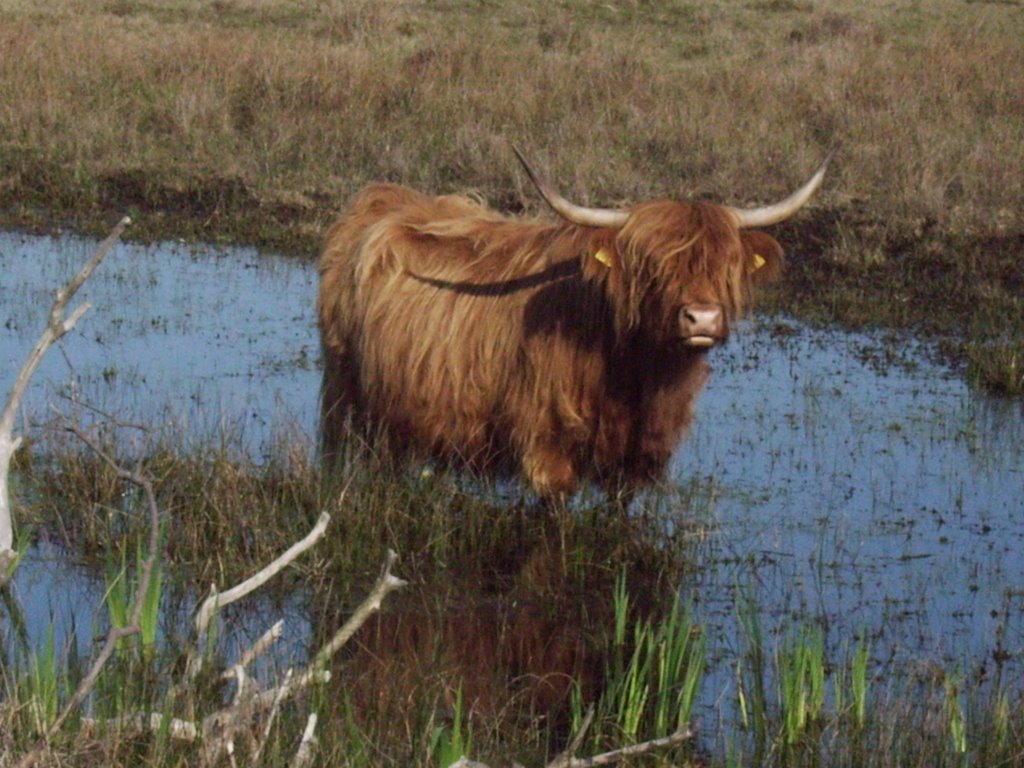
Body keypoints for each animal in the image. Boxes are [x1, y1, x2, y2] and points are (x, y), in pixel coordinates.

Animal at [319, 148, 831, 499]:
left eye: (727, 266)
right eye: (651, 267)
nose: (701, 317)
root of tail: (382, 198)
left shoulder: (635, 460)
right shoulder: (549, 453)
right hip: (347, 397)